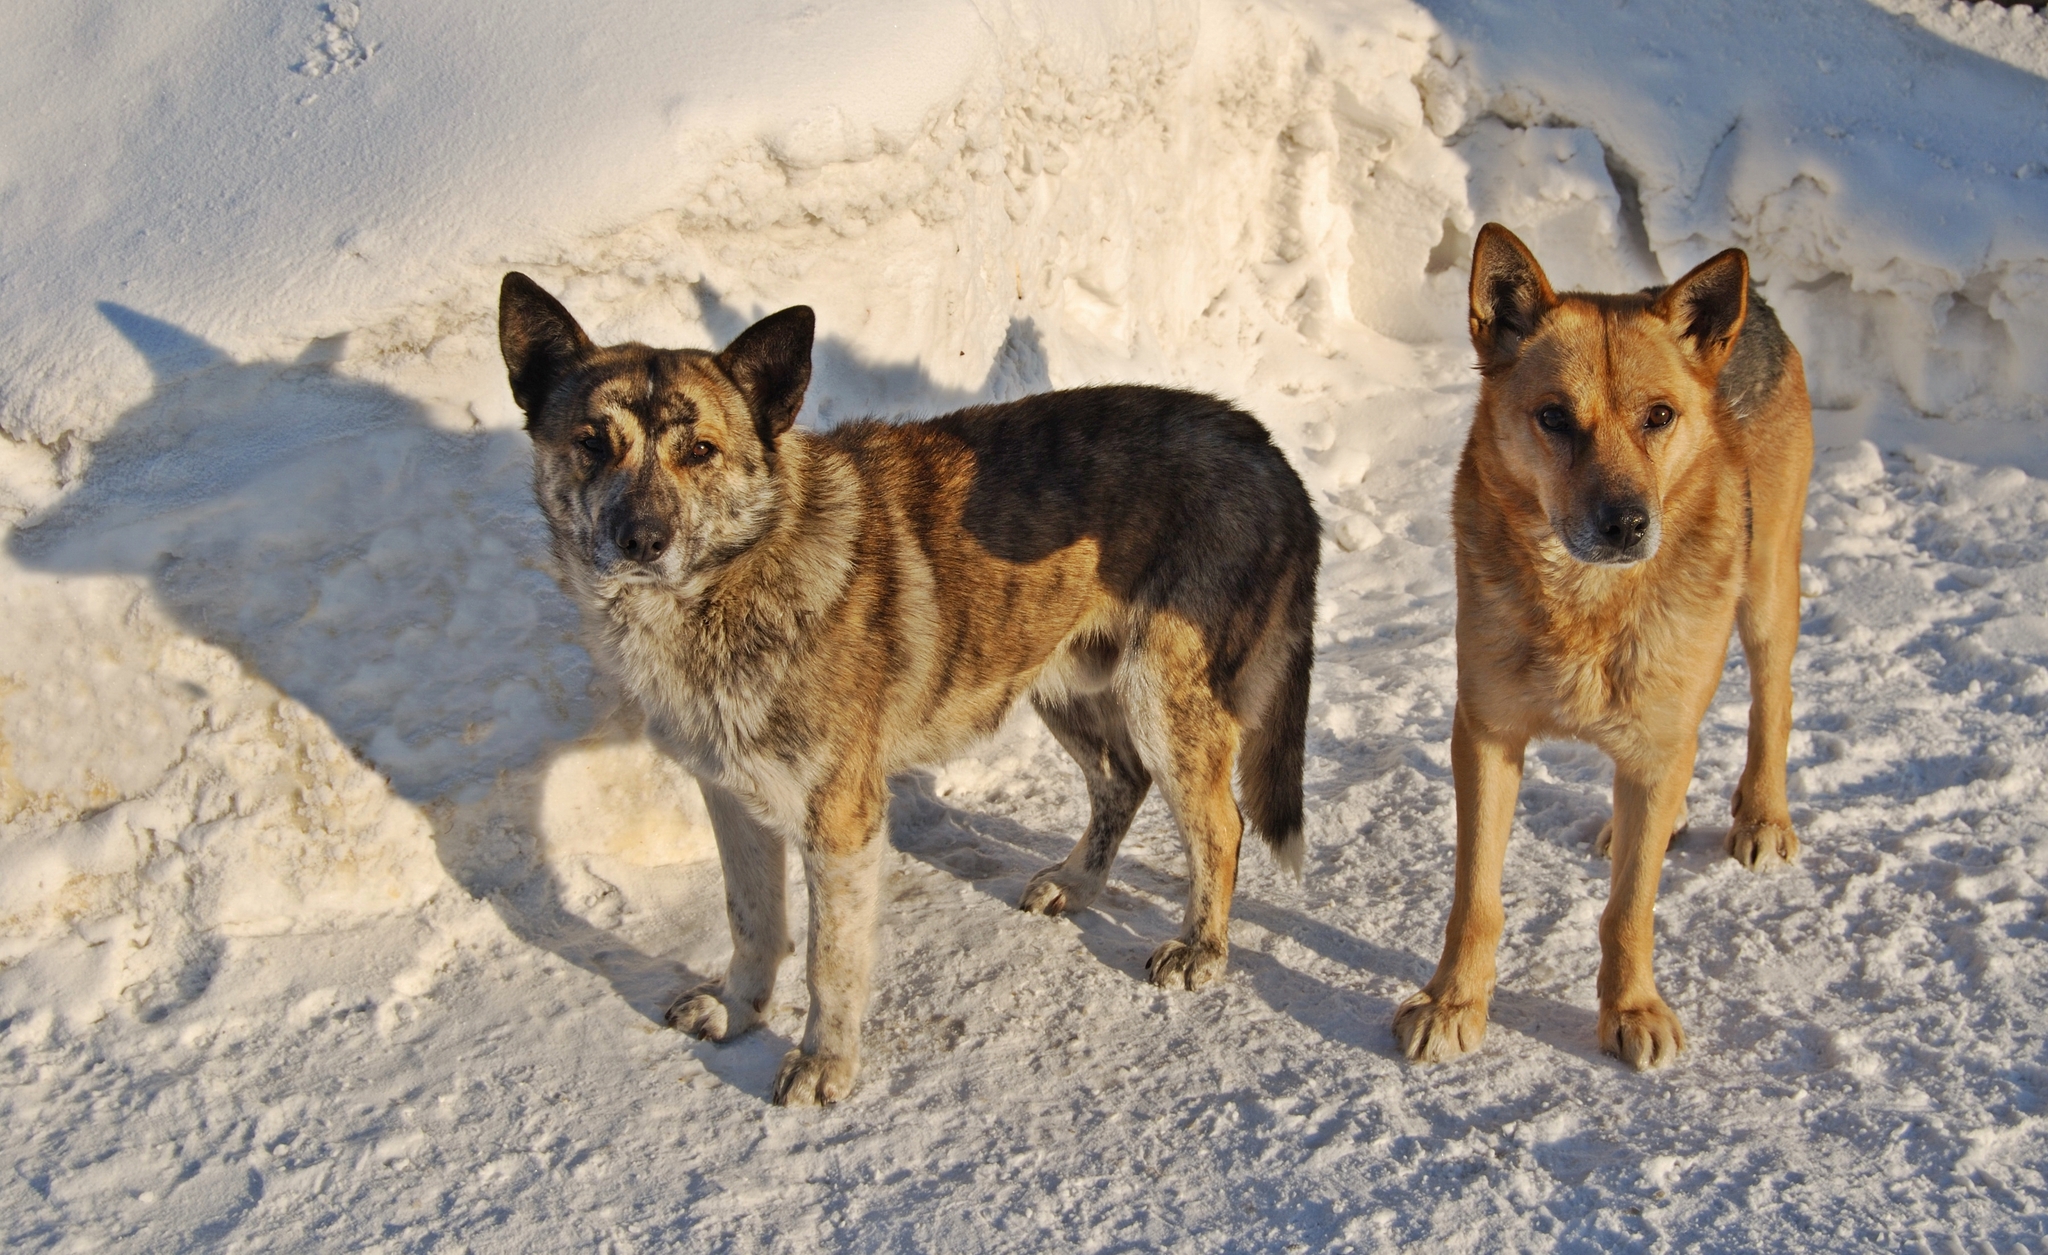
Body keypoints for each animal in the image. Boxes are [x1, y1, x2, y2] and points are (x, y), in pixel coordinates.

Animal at [503, 276, 1318, 1105]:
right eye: (592, 442)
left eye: (700, 450)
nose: (641, 540)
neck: (739, 577)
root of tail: (1262, 442)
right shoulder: (731, 799)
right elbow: (751, 921)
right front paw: (739, 1007)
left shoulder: (839, 819)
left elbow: (830, 960)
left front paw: (824, 1061)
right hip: (1058, 679)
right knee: (1122, 780)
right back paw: (1079, 883)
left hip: (1163, 697)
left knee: (1220, 824)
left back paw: (1201, 945)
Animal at [1392, 223, 1810, 1064]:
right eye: (1554, 417)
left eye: (1659, 415)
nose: (1626, 524)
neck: (1585, 605)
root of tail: (1758, 305)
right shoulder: (1485, 735)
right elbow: (1475, 896)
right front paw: (1454, 999)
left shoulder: (1659, 727)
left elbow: (1629, 908)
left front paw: (1632, 1007)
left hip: (1766, 593)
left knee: (1769, 701)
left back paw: (1762, 814)